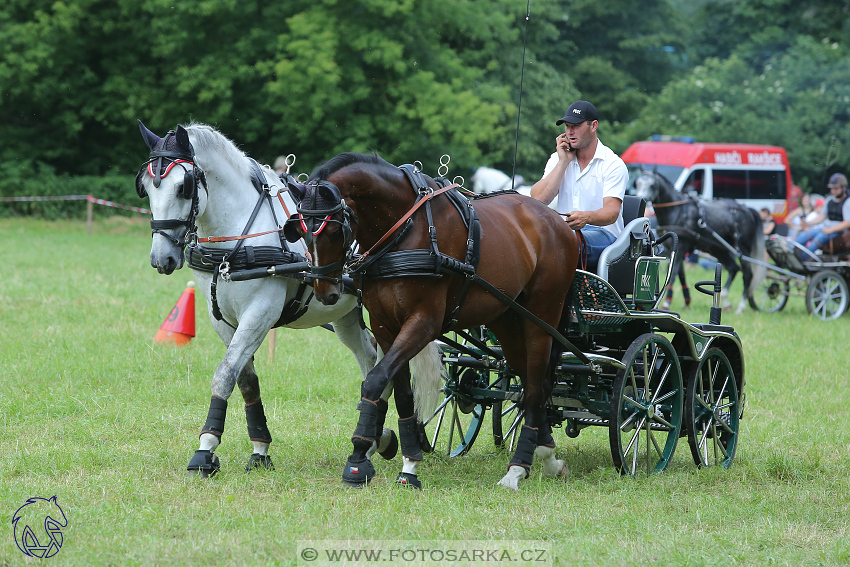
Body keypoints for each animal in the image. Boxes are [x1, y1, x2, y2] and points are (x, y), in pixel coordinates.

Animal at [137, 122, 400, 478]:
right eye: (146, 187)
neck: (238, 234)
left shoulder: (260, 312)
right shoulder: (221, 319)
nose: (160, 258)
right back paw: (376, 439)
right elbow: (245, 380)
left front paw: (205, 449)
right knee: (370, 360)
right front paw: (259, 449)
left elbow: (224, 374)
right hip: (345, 315)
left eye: (183, 187)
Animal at [282, 153, 580, 490]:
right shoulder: (385, 327)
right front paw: (408, 462)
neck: (404, 230)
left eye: (335, 231)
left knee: (535, 387)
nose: (325, 291)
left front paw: (359, 458)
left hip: (541, 319)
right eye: (300, 232)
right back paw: (547, 455)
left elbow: (374, 380)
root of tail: (557, 220)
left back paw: (517, 468)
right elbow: (400, 392)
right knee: (531, 382)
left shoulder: (424, 323)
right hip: (508, 320)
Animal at [632, 169, 764, 316]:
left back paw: (741, 306)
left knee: (747, 274)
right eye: (637, 183)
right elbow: (680, 275)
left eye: (652, 185)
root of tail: (747, 210)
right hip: (718, 249)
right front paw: (686, 301)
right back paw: (725, 301)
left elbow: (673, 274)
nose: (642, 199)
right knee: (733, 268)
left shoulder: (681, 246)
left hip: (741, 248)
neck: (678, 211)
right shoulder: (673, 248)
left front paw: (667, 303)